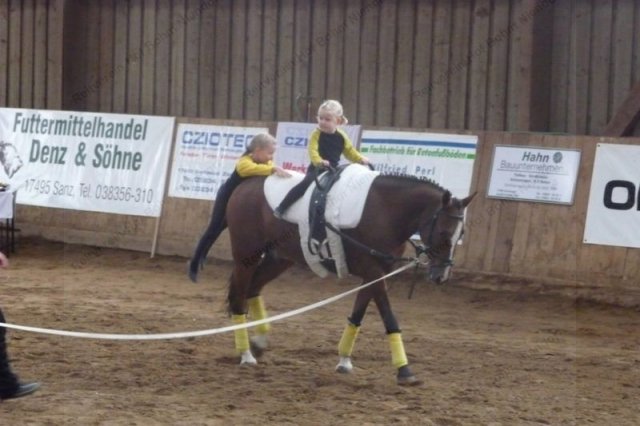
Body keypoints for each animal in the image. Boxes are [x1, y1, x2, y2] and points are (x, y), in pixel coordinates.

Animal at [224, 169, 476, 385]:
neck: (385, 210)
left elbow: (357, 315)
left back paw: (258, 343)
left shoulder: (374, 274)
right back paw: (246, 354)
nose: (441, 275)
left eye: (461, 233)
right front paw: (404, 370)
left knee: (253, 289)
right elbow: (389, 317)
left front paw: (344, 361)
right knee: (238, 298)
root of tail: (248, 183)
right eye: (443, 232)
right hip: (247, 256)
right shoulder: (374, 272)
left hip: (280, 259)